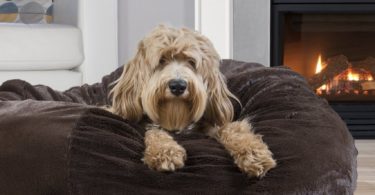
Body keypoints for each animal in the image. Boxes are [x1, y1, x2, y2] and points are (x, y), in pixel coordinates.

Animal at [108, 25, 276, 177]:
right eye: (161, 60)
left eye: (191, 61)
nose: (178, 86)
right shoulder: (150, 125)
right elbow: (155, 132)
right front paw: (165, 152)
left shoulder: (212, 124)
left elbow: (233, 129)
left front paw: (254, 154)